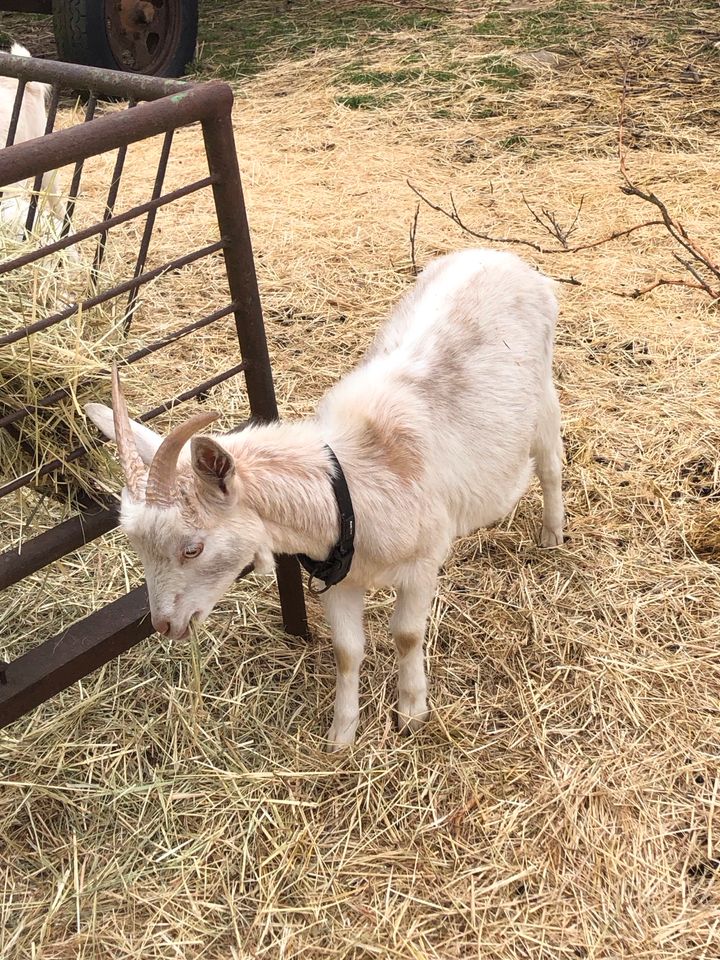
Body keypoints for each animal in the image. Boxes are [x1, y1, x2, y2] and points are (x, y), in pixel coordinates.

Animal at [87, 248, 564, 752]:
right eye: (137, 547)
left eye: (193, 547)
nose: (164, 625)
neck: (349, 491)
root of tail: (501, 257)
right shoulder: (339, 581)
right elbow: (347, 651)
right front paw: (342, 734)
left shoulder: (421, 562)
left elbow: (407, 635)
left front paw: (411, 713)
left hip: (543, 397)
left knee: (551, 464)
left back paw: (552, 534)